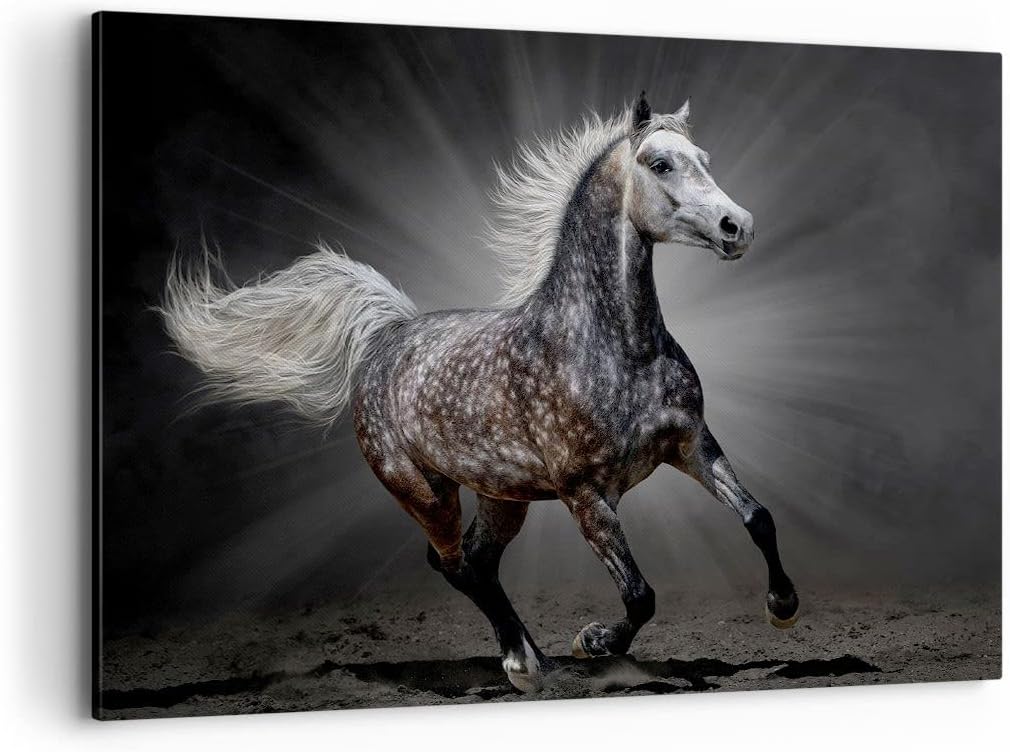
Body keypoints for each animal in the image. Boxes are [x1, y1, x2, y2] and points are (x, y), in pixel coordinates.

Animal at [161, 93, 799, 694]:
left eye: (704, 159)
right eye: (661, 163)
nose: (738, 226)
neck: (616, 348)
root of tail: (387, 336)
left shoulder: (692, 445)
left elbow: (759, 518)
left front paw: (783, 608)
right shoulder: (585, 494)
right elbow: (640, 595)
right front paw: (592, 642)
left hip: (502, 496)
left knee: (478, 562)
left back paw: (532, 655)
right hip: (424, 492)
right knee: (455, 564)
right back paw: (524, 664)